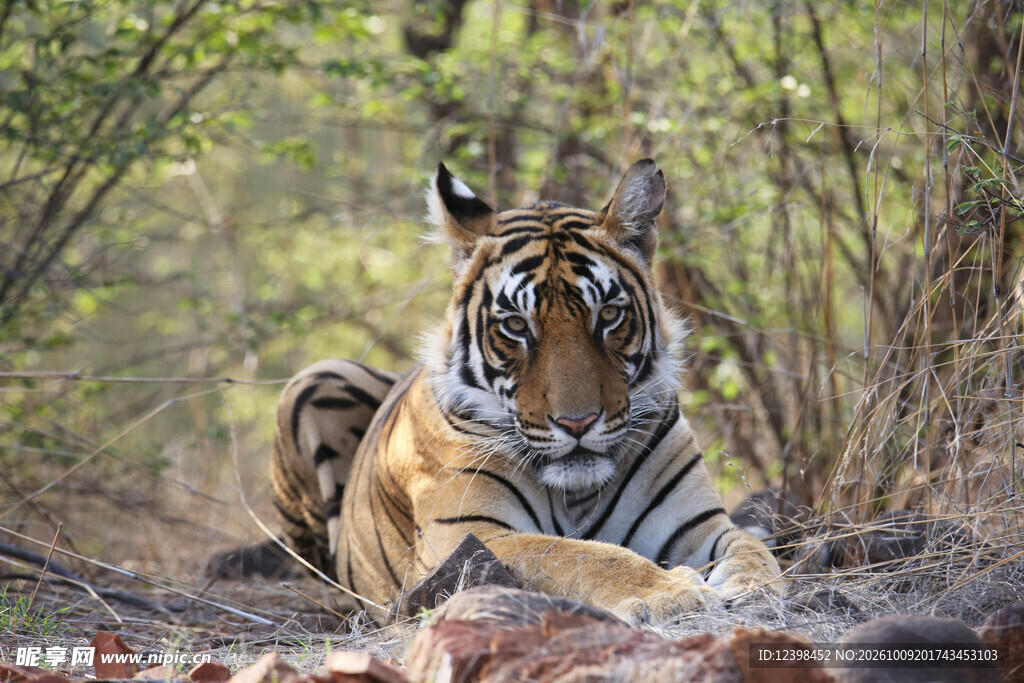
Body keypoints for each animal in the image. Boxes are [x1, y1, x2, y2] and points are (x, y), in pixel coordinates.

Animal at [271, 159, 784, 623]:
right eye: (516, 326)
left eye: (608, 315)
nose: (577, 423)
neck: (577, 493)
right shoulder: (472, 535)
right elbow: (582, 554)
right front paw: (673, 593)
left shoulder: (698, 522)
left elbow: (750, 546)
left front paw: (751, 584)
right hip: (315, 378)